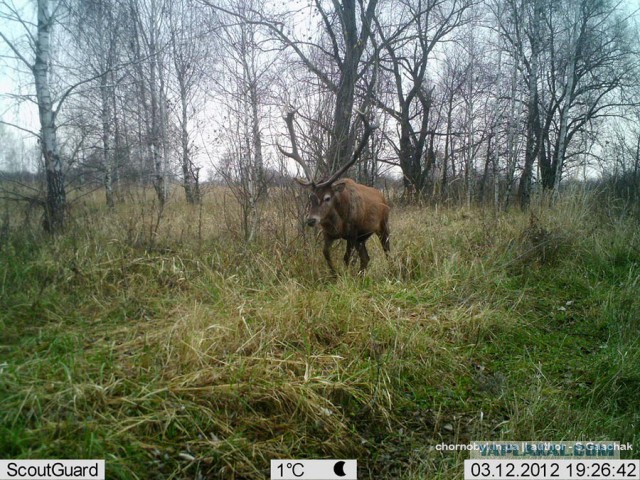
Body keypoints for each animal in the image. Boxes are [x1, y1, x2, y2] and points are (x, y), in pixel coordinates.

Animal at [280, 109, 390, 274]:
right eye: (311, 197)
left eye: (327, 198)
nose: (311, 220)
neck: (337, 223)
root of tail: (383, 197)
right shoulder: (329, 234)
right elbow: (325, 253)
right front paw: (334, 274)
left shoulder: (352, 232)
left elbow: (346, 258)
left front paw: (344, 275)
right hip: (363, 237)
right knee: (365, 258)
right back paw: (361, 275)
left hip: (383, 225)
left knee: (387, 250)